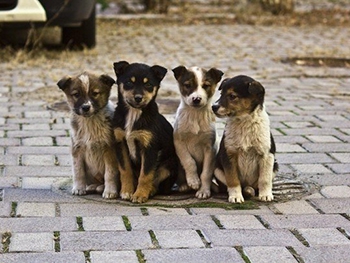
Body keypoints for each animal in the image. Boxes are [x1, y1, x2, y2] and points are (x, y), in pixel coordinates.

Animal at [56, 71, 118, 199]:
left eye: (95, 93)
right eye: (76, 94)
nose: (86, 107)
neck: (90, 122)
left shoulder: (109, 148)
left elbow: (110, 173)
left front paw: (110, 191)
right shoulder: (77, 148)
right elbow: (78, 171)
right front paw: (79, 188)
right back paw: (92, 187)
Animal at [112, 61, 178, 204]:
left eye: (148, 85)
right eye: (129, 82)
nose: (138, 98)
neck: (134, 113)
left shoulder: (150, 148)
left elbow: (146, 175)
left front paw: (140, 195)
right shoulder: (120, 143)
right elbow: (125, 170)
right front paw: (126, 191)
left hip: (169, 165)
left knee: (158, 182)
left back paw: (150, 191)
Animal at [211, 75, 278, 203]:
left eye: (232, 96)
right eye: (221, 93)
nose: (213, 107)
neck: (244, 122)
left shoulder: (267, 154)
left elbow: (265, 179)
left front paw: (266, 195)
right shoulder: (229, 154)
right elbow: (232, 179)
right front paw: (236, 197)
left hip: (275, 167)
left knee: (255, 186)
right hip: (217, 169)